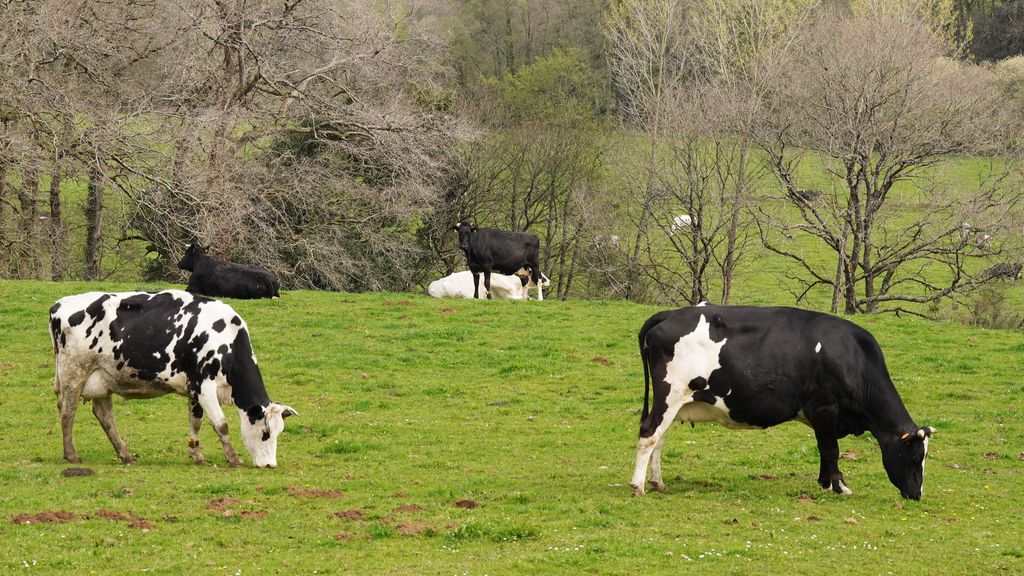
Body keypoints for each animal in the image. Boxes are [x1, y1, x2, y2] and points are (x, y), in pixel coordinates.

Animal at [49, 291, 296, 467]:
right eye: (265, 433)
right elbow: (221, 424)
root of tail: (59, 304)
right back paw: (71, 455)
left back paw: (125, 455)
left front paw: (197, 454)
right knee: (67, 412)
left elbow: (196, 422)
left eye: (279, 432)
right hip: (74, 374)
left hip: (102, 379)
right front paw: (234, 459)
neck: (227, 339)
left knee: (105, 417)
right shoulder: (205, 387)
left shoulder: (195, 389)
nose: (270, 465)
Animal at [630, 305, 937, 498]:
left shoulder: (820, 417)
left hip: (674, 402)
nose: (917, 495)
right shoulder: (825, 409)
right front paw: (840, 487)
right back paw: (638, 486)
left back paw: (658, 482)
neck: (852, 356)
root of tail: (671, 313)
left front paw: (825, 484)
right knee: (649, 433)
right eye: (915, 457)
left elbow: (823, 449)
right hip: (669, 395)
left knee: (659, 438)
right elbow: (831, 450)